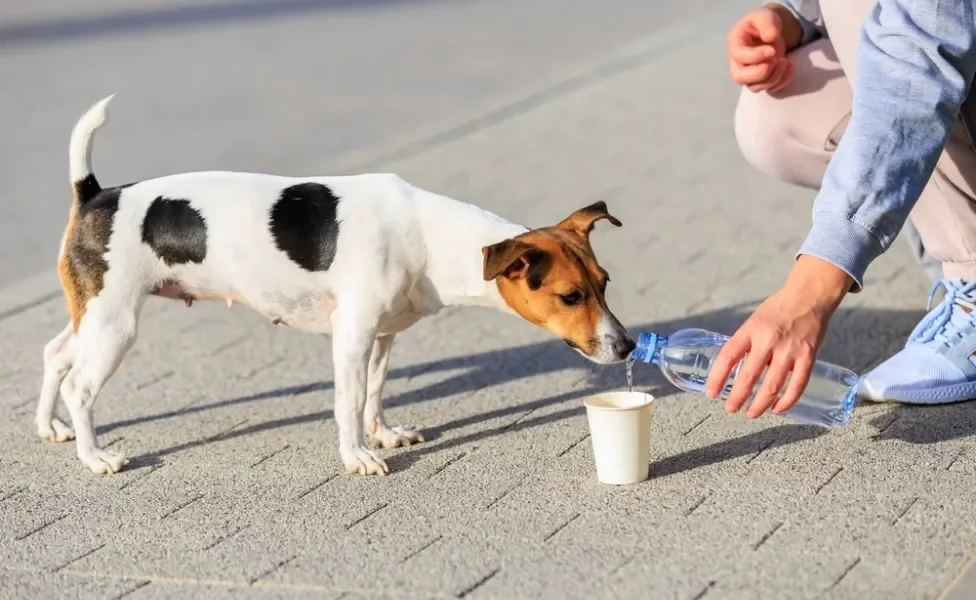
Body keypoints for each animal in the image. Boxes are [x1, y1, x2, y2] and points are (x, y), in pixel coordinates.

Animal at [36, 96, 632, 476]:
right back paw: (94, 457)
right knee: (79, 385)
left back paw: (50, 428)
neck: (430, 235)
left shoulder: (384, 336)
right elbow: (348, 402)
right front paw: (358, 456)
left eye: (605, 283)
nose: (626, 346)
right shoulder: (351, 335)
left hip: (93, 316)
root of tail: (96, 194)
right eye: (571, 296)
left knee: (55, 354)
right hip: (116, 324)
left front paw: (383, 433)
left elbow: (374, 392)